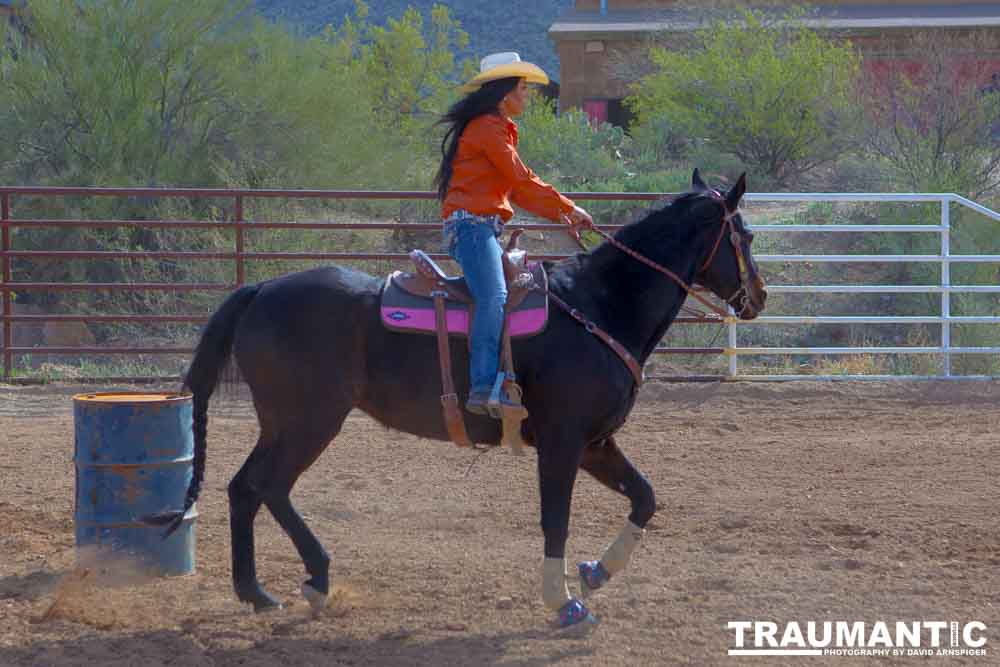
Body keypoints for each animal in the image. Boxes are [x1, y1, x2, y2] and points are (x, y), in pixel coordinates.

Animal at [148, 170, 768, 628]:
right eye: (746, 235)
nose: (760, 295)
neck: (599, 306)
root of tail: (259, 291)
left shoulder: (596, 443)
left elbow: (644, 498)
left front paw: (596, 573)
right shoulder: (562, 442)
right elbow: (555, 520)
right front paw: (564, 602)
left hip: (284, 423)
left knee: (244, 488)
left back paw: (255, 591)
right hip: (308, 421)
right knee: (268, 487)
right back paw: (315, 580)